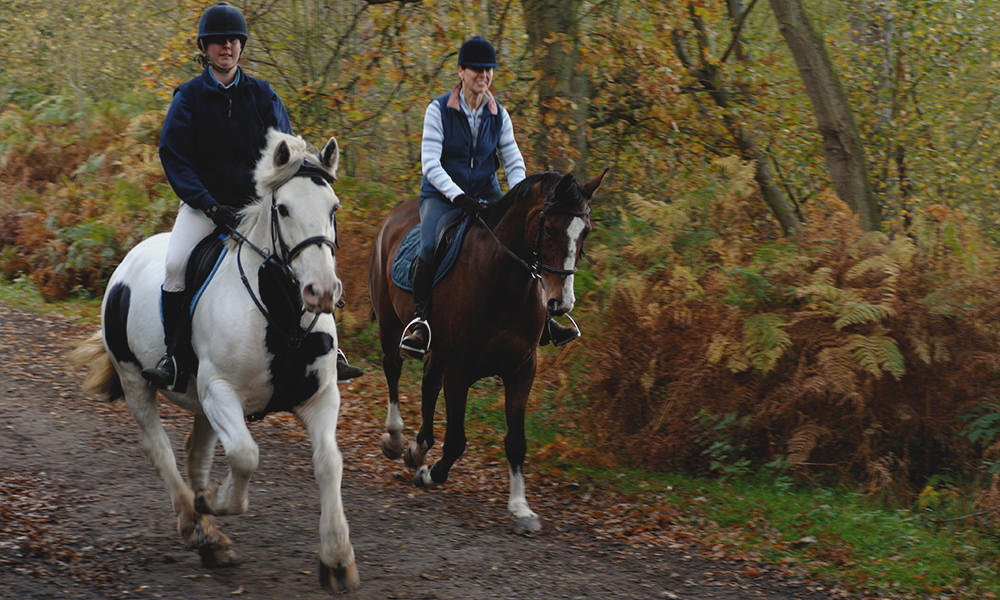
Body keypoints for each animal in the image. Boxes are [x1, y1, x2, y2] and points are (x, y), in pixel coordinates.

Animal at [69, 129, 360, 593]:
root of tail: (127, 262)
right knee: (161, 451)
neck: (280, 312)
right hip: (137, 381)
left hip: (201, 403)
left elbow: (329, 463)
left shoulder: (320, 396)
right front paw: (217, 502)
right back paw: (197, 525)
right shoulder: (221, 392)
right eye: (283, 208)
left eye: (333, 208)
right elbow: (244, 455)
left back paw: (210, 536)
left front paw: (337, 560)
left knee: (194, 454)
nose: (322, 292)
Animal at [368, 169, 605, 533]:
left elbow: (516, 442)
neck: (504, 282)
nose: (560, 303)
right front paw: (430, 474)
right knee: (393, 369)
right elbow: (456, 439)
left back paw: (417, 449)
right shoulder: (460, 369)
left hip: (438, 350)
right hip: (390, 323)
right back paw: (395, 440)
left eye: (585, 232)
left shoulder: (522, 369)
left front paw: (521, 508)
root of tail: (396, 213)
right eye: (550, 228)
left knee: (427, 385)